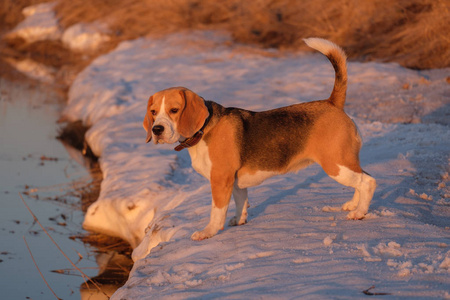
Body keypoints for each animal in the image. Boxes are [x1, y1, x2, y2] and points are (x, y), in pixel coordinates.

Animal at [144, 37, 376, 240]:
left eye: (174, 110)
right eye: (154, 112)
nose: (156, 130)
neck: (204, 129)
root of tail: (332, 102)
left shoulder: (220, 179)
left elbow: (217, 211)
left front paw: (208, 232)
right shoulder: (235, 181)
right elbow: (240, 202)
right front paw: (239, 221)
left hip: (335, 164)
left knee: (368, 182)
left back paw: (359, 212)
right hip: (345, 162)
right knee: (362, 177)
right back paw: (353, 204)